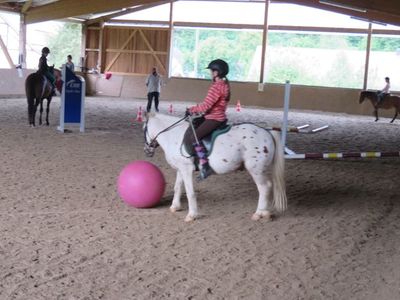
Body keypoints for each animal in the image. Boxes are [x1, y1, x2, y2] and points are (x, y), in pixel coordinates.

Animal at [144, 113, 288, 221]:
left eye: (144, 128)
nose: (147, 150)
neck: (174, 135)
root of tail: (267, 132)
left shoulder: (186, 169)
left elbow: (190, 192)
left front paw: (192, 215)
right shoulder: (180, 168)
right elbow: (177, 188)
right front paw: (175, 207)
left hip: (256, 169)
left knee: (264, 187)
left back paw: (259, 213)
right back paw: (265, 212)